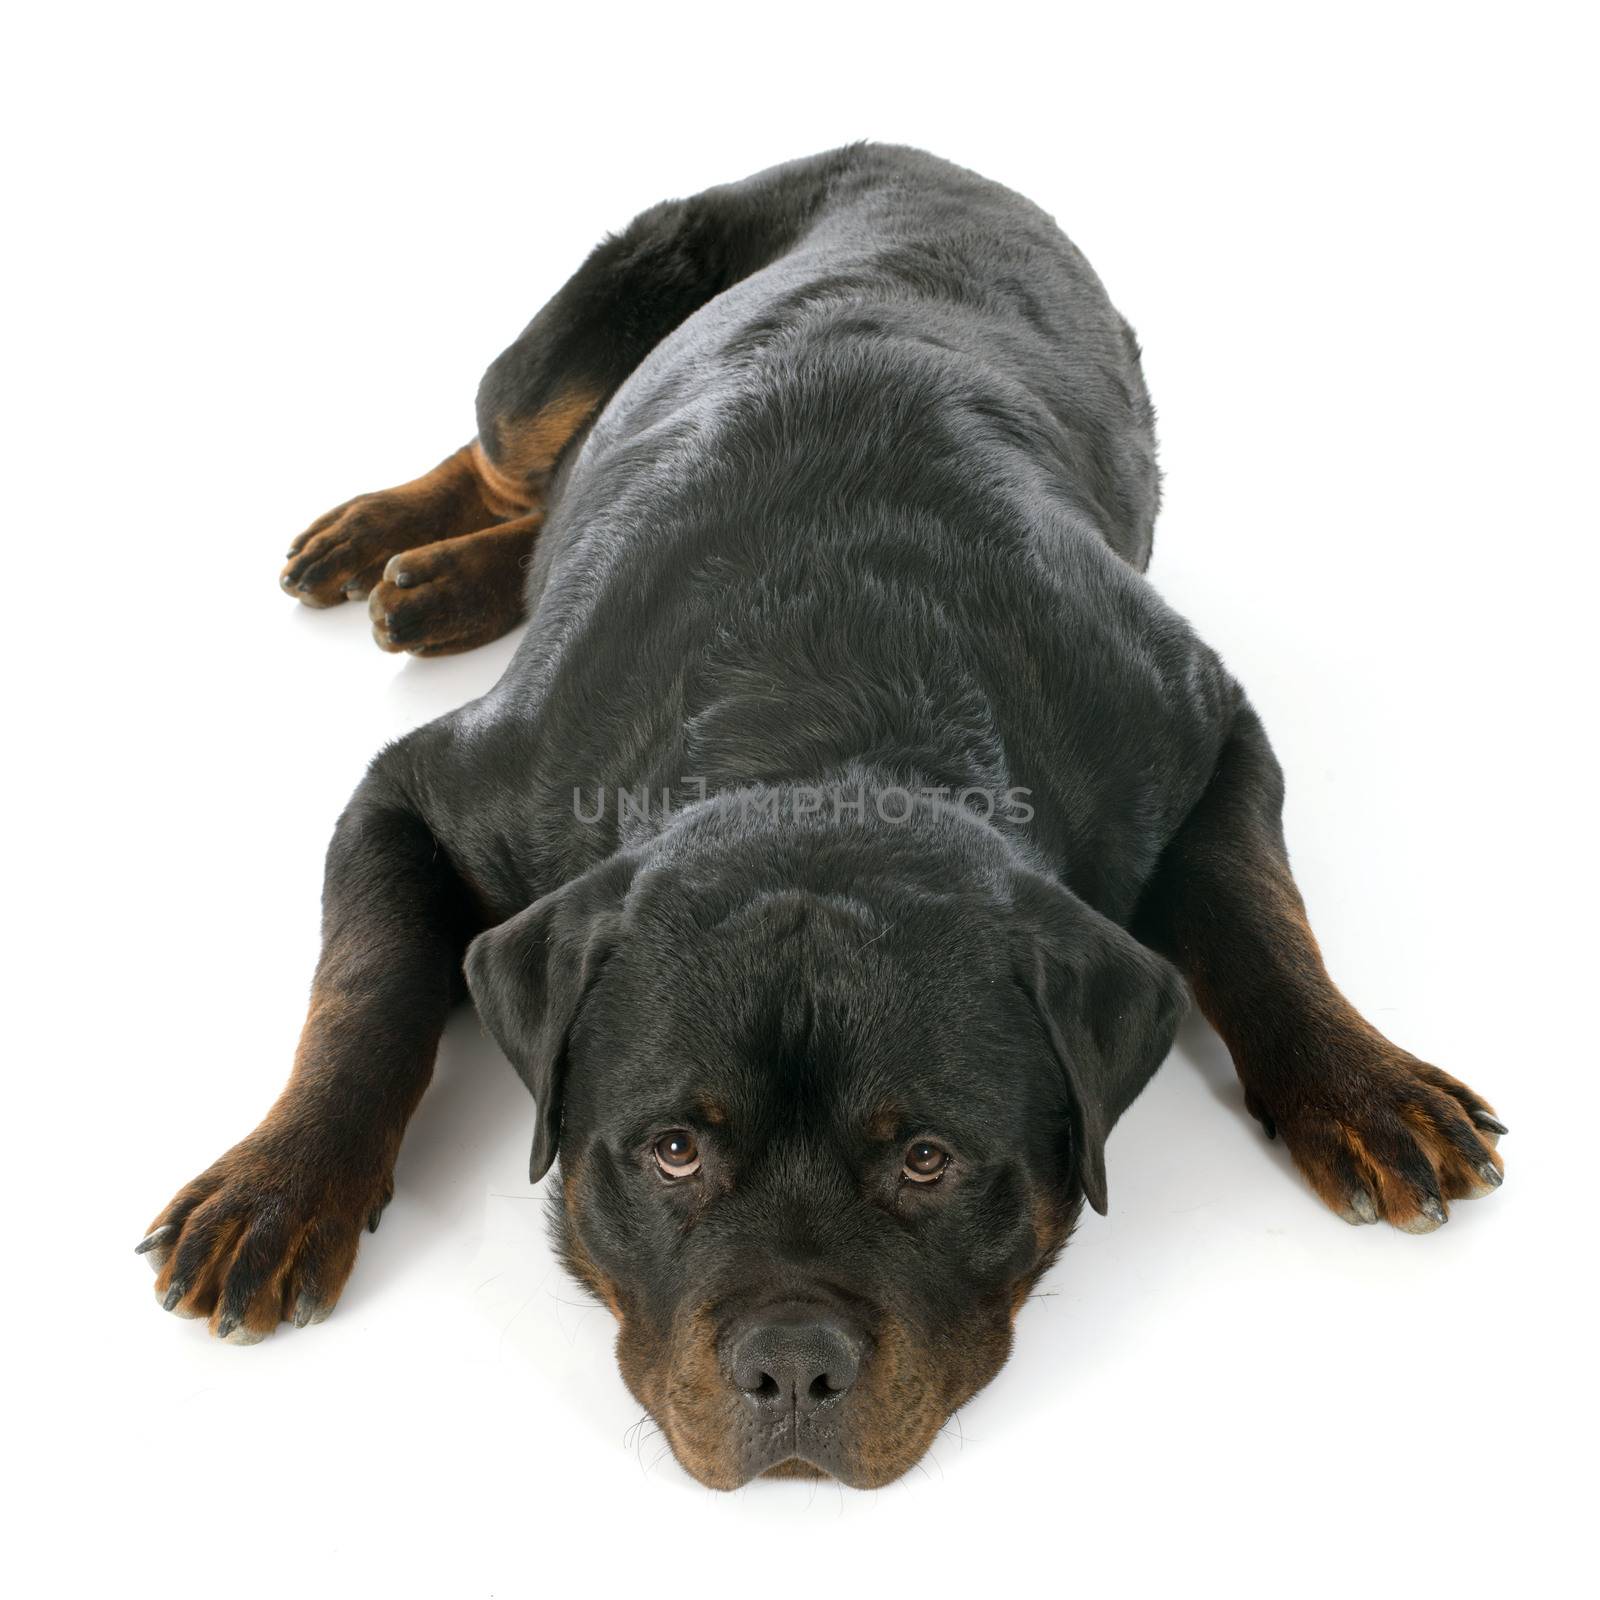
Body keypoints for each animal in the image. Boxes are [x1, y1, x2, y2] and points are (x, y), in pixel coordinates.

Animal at [134, 147, 1497, 1484]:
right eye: (673, 1150)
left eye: (926, 1159)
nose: (790, 1367)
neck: (832, 729)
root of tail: (909, 151)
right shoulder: (430, 787)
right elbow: (363, 993)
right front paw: (277, 1191)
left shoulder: (1195, 718)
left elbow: (1261, 913)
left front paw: (1367, 1087)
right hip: (561, 354)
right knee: (506, 452)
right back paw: (390, 544)